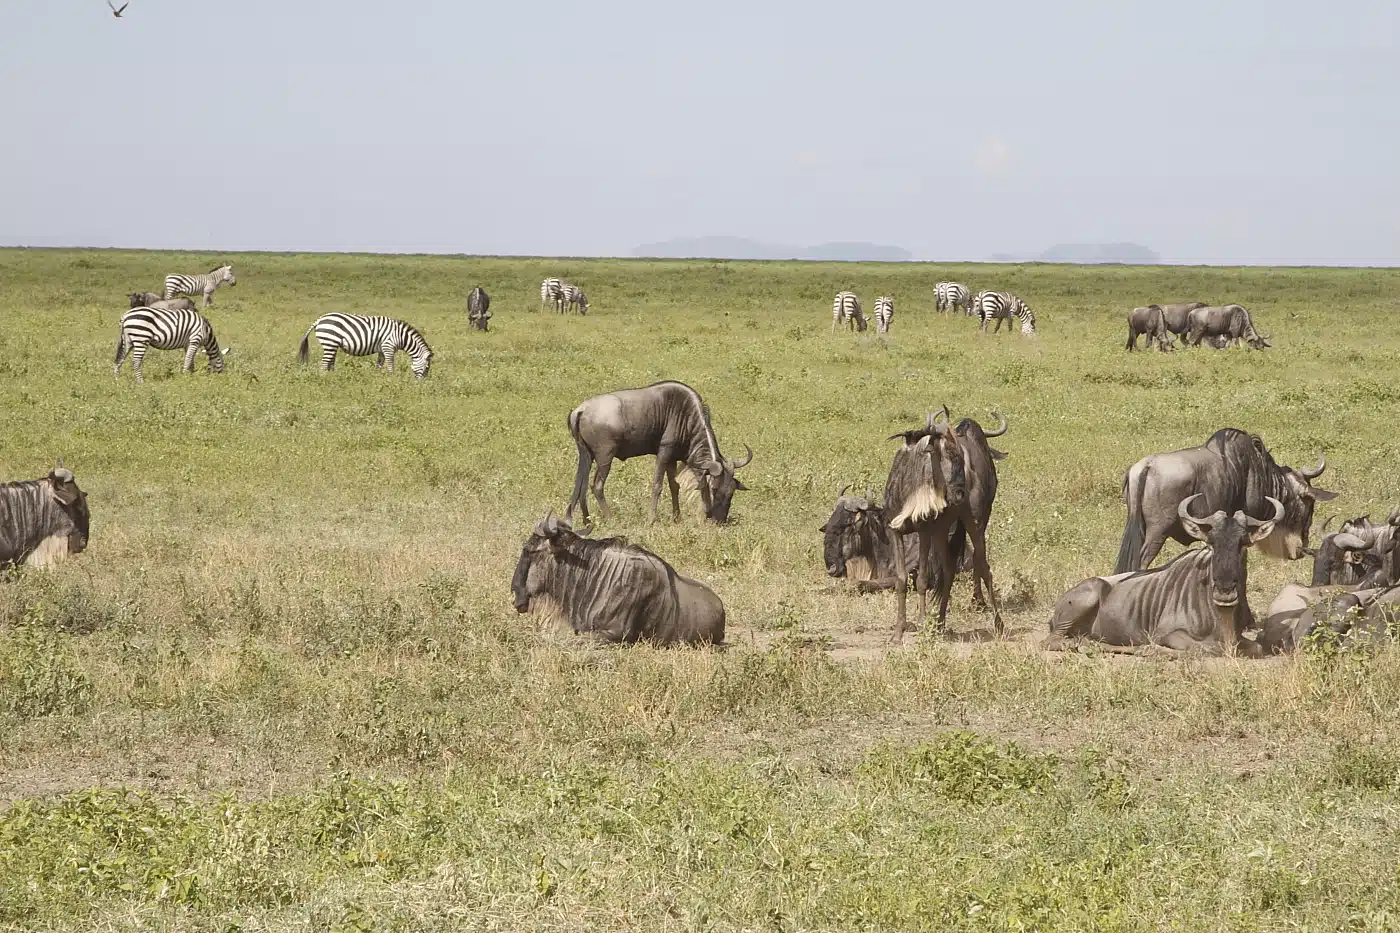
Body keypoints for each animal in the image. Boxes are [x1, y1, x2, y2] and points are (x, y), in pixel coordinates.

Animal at [297, 312, 433, 379]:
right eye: (427, 368)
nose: (422, 383)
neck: (400, 336)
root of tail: (319, 320)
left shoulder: (382, 350)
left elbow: (379, 365)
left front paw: (377, 379)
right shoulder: (388, 347)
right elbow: (390, 366)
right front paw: (392, 380)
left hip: (332, 345)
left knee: (330, 364)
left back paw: (333, 377)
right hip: (330, 342)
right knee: (324, 365)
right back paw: (325, 380)